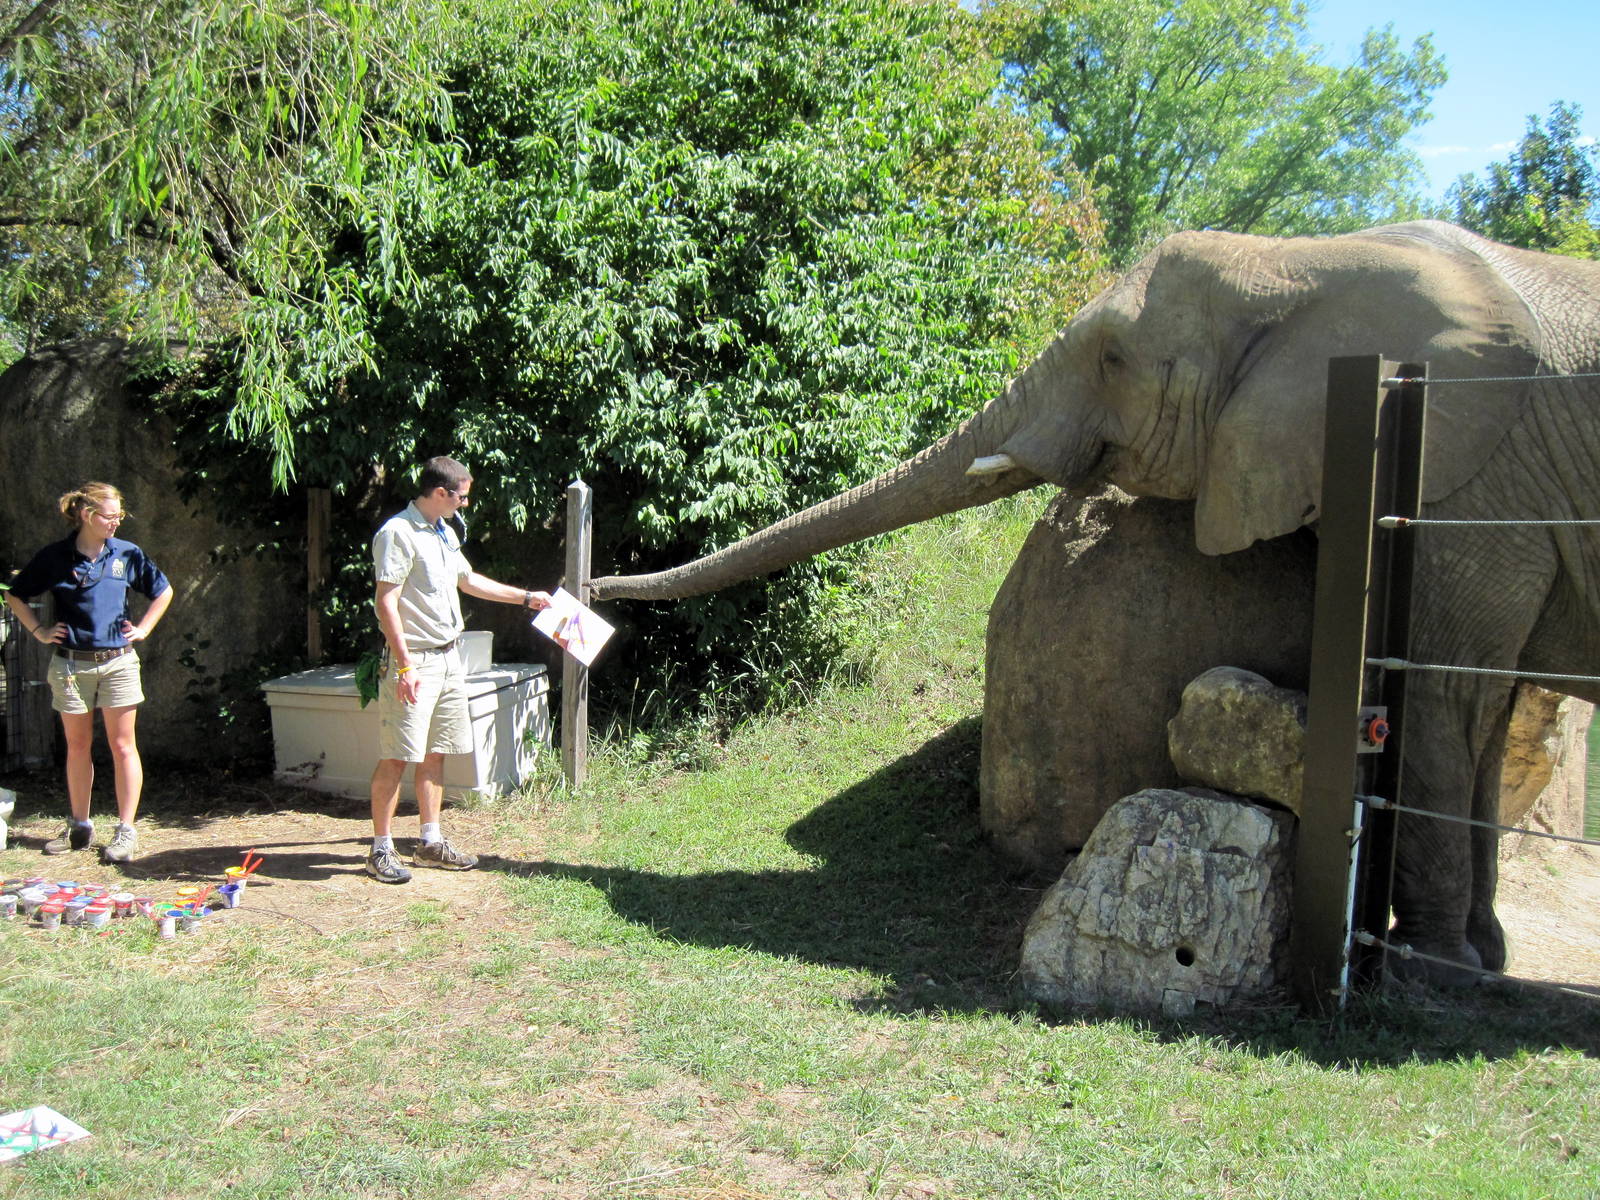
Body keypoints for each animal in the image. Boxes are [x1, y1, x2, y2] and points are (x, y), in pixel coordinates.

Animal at [589, 220, 1600, 983]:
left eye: (1115, 358)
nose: (596, 585)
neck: (1303, 260)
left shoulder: (1469, 478)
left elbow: (1444, 696)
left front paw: (1439, 970)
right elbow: (1478, 709)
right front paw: (1480, 962)